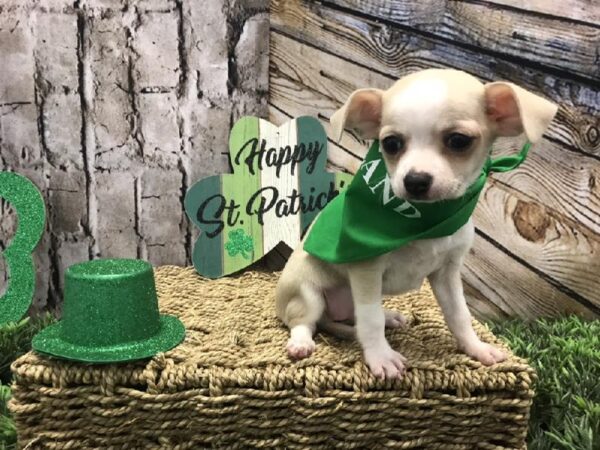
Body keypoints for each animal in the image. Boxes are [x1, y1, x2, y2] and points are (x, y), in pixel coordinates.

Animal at [276, 69, 556, 380]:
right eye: (390, 144)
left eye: (459, 140)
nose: (415, 181)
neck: (424, 223)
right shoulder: (366, 271)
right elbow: (370, 320)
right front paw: (381, 357)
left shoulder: (447, 274)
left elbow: (459, 315)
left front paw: (475, 348)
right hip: (308, 294)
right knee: (306, 322)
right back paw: (301, 343)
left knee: (352, 318)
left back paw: (390, 317)